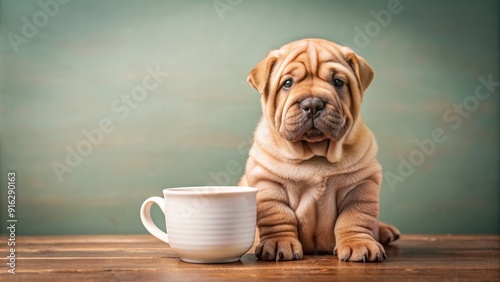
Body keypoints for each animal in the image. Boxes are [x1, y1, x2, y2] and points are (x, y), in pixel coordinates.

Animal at [240, 38, 400, 262]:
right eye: (287, 83)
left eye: (338, 82)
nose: (313, 104)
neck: (315, 153)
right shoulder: (268, 182)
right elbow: (278, 216)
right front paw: (279, 242)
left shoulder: (361, 184)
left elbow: (355, 217)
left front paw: (359, 244)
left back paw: (385, 231)